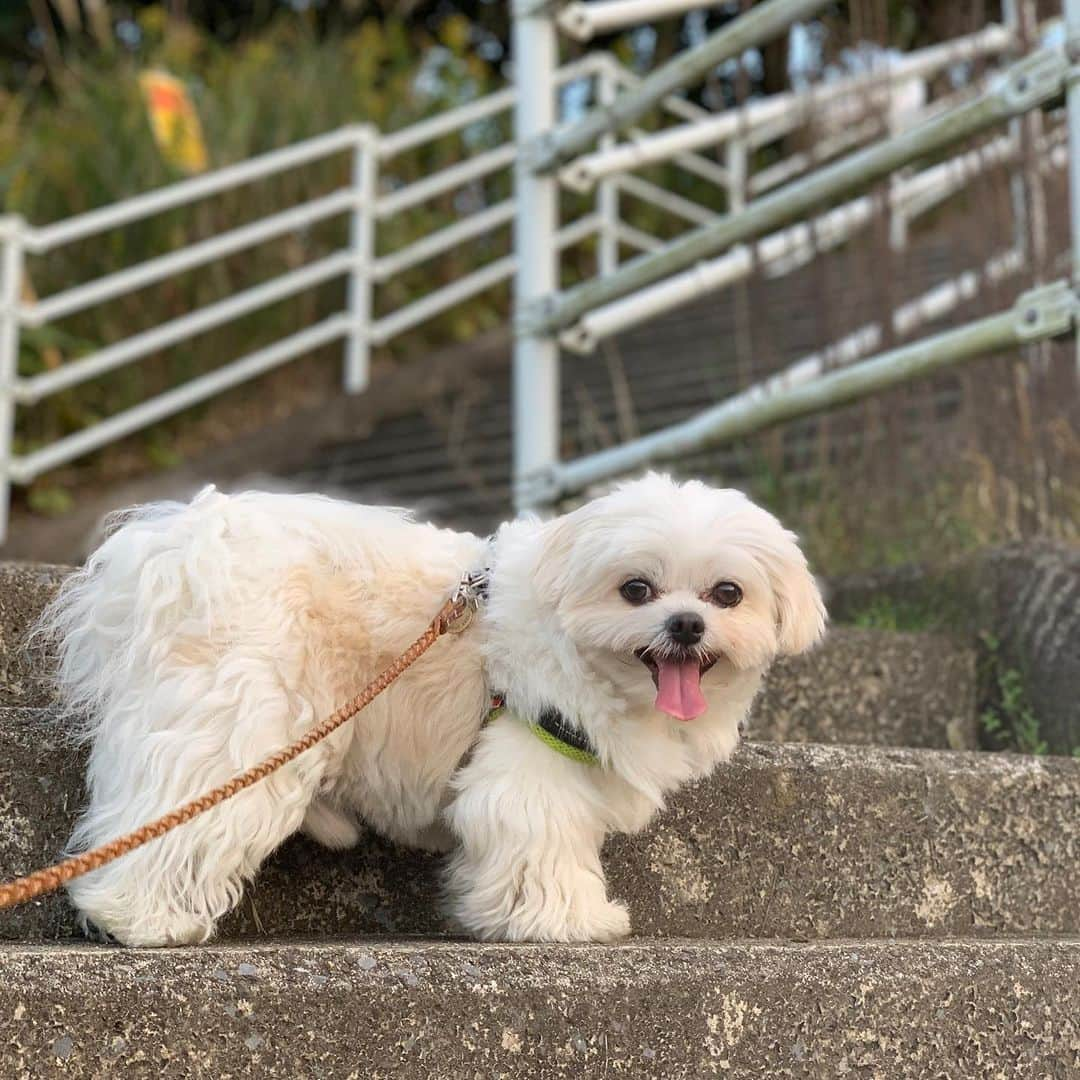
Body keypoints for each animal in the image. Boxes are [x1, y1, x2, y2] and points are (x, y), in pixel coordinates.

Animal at [38, 473, 820, 946]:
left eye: (727, 594)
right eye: (636, 589)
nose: (685, 624)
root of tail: (184, 543)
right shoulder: (530, 752)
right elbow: (542, 839)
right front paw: (570, 919)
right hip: (244, 716)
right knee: (186, 809)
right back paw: (141, 917)